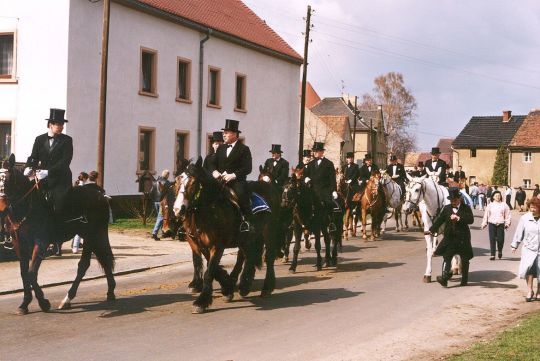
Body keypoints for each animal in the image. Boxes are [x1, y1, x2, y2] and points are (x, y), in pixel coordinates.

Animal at [1, 155, 116, 316]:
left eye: (6, 180)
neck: (27, 208)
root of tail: (101, 195)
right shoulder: (20, 245)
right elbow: (24, 273)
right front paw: (24, 304)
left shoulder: (40, 243)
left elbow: (31, 273)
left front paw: (43, 303)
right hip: (91, 236)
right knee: (103, 259)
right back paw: (109, 291)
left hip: (92, 235)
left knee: (85, 264)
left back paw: (68, 299)